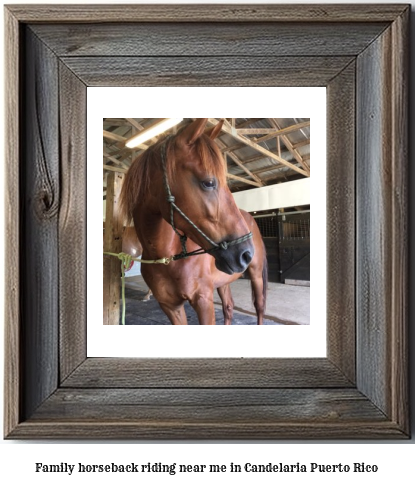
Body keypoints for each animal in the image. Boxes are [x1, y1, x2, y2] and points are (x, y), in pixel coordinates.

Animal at [119, 117, 270, 324]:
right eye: (208, 182)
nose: (246, 254)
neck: (168, 255)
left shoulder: (203, 300)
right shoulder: (170, 307)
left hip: (255, 274)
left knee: (259, 306)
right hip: (224, 279)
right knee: (228, 307)